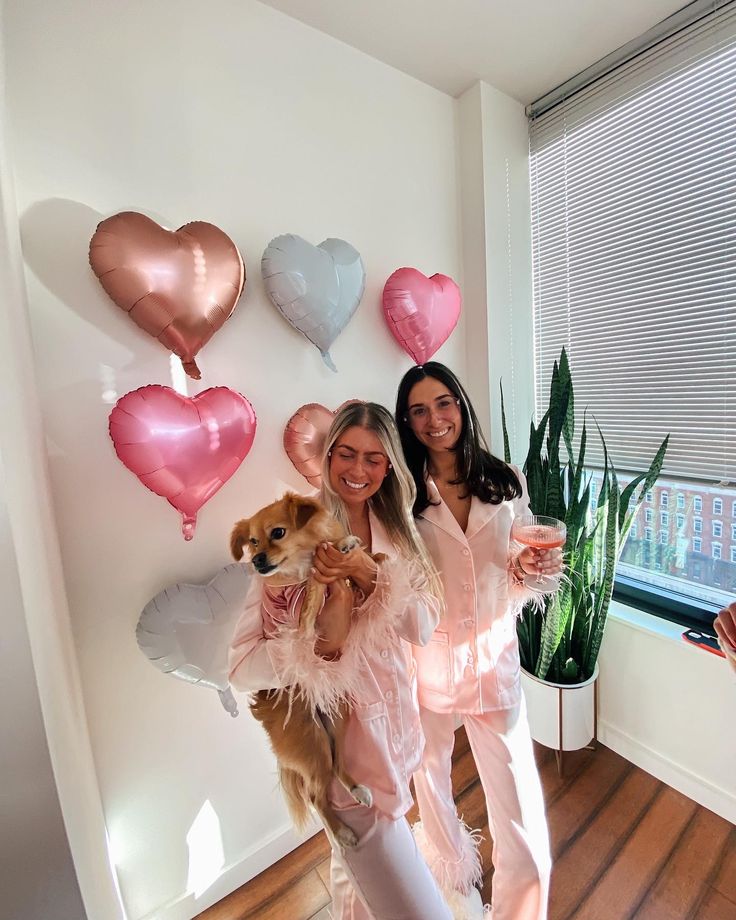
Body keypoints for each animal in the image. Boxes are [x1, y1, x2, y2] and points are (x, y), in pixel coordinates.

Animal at [231, 488, 374, 848]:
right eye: (252, 542)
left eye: (277, 533)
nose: (257, 560)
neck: (303, 559)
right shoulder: (295, 599)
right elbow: (310, 593)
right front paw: (307, 625)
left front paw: (353, 549)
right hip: (311, 745)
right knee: (315, 796)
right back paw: (343, 832)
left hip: (336, 723)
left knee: (336, 766)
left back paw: (357, 789)